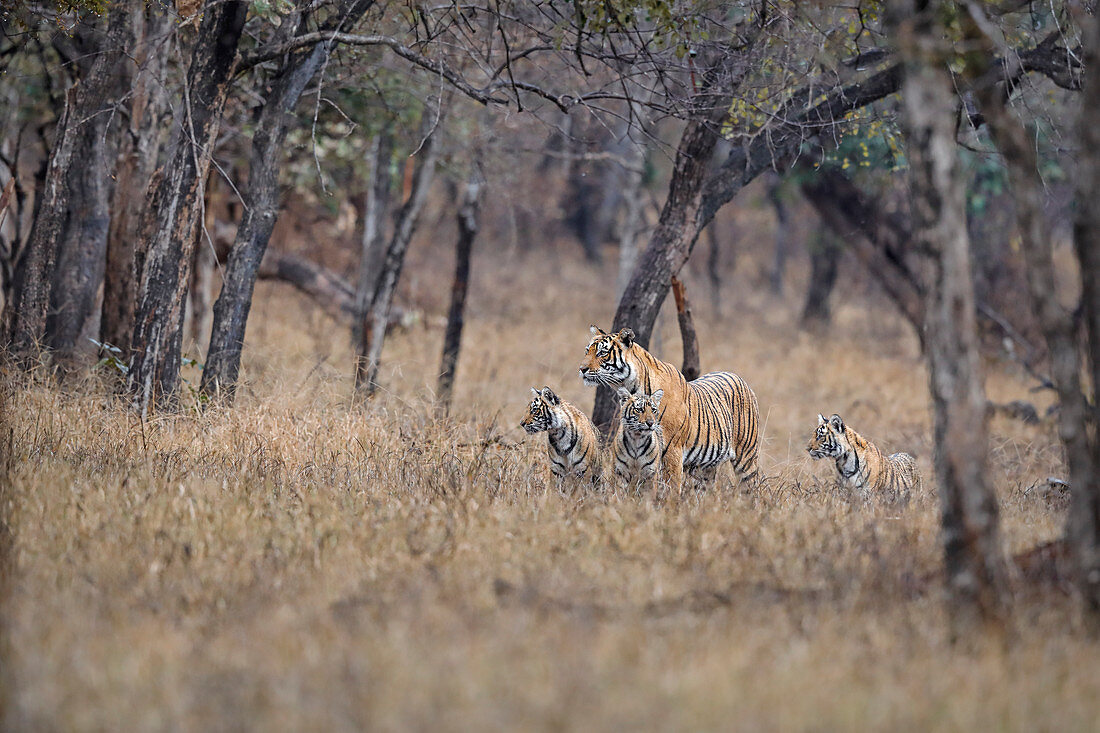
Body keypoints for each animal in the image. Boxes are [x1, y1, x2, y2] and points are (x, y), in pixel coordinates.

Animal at [580, 325, 761, 490]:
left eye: (602, 353)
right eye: (587, 351)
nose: (581, 369)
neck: (630, 386)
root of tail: (739, 378)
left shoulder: (672, 450)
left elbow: (671, 489)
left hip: (746, 457)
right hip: (706, 468)